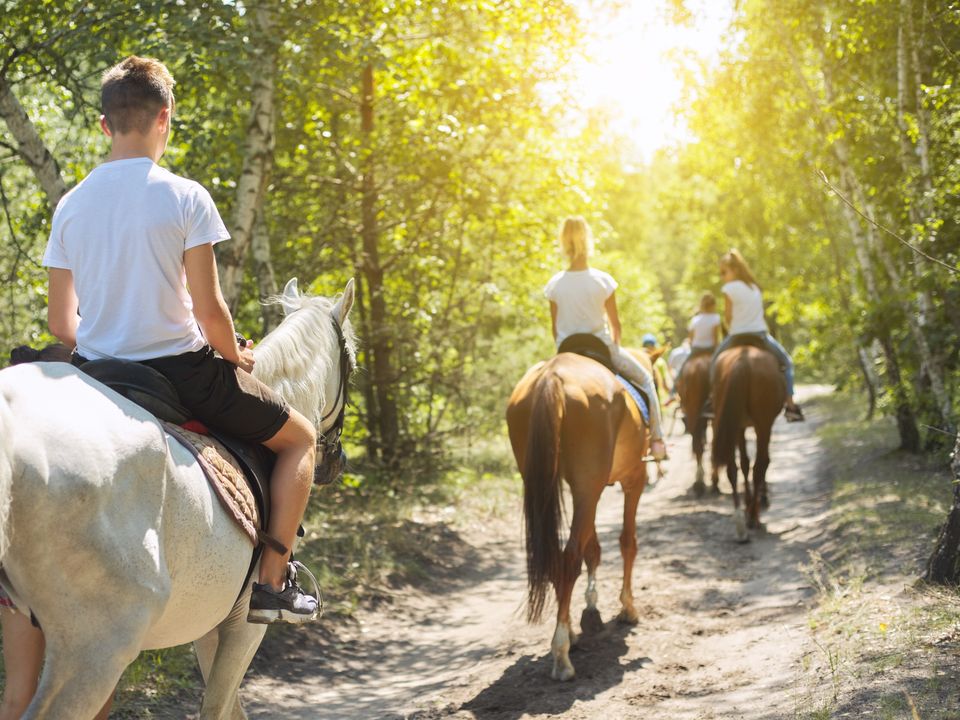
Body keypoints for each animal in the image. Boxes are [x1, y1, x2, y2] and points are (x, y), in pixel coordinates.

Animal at [0, 278, 356, 720]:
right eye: (352, 363)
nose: (336, 462)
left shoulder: (209, 623)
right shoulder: (244, 626)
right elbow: (219, 707)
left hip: (30, 627)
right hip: (97, 647)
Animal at [502, 348, 652, 680]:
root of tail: (552, 377)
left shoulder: (587, 491)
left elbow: (592, 548)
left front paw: (590, 612)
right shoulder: (633, 479)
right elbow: (628, 542)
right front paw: (627, 608)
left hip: (549, 482)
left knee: (558, 558)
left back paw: (568, 634)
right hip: (588, 485)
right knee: (569, 557)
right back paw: (561, 655)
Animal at [708, 344, 784, 540]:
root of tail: (742, 361)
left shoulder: (739, 426)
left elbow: (743, 463)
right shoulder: (761, 425)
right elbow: (760, 463)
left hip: (731, 421)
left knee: (732, 468)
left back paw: (740, 522)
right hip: (763, 423)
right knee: (759, 466)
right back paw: (753, 517)